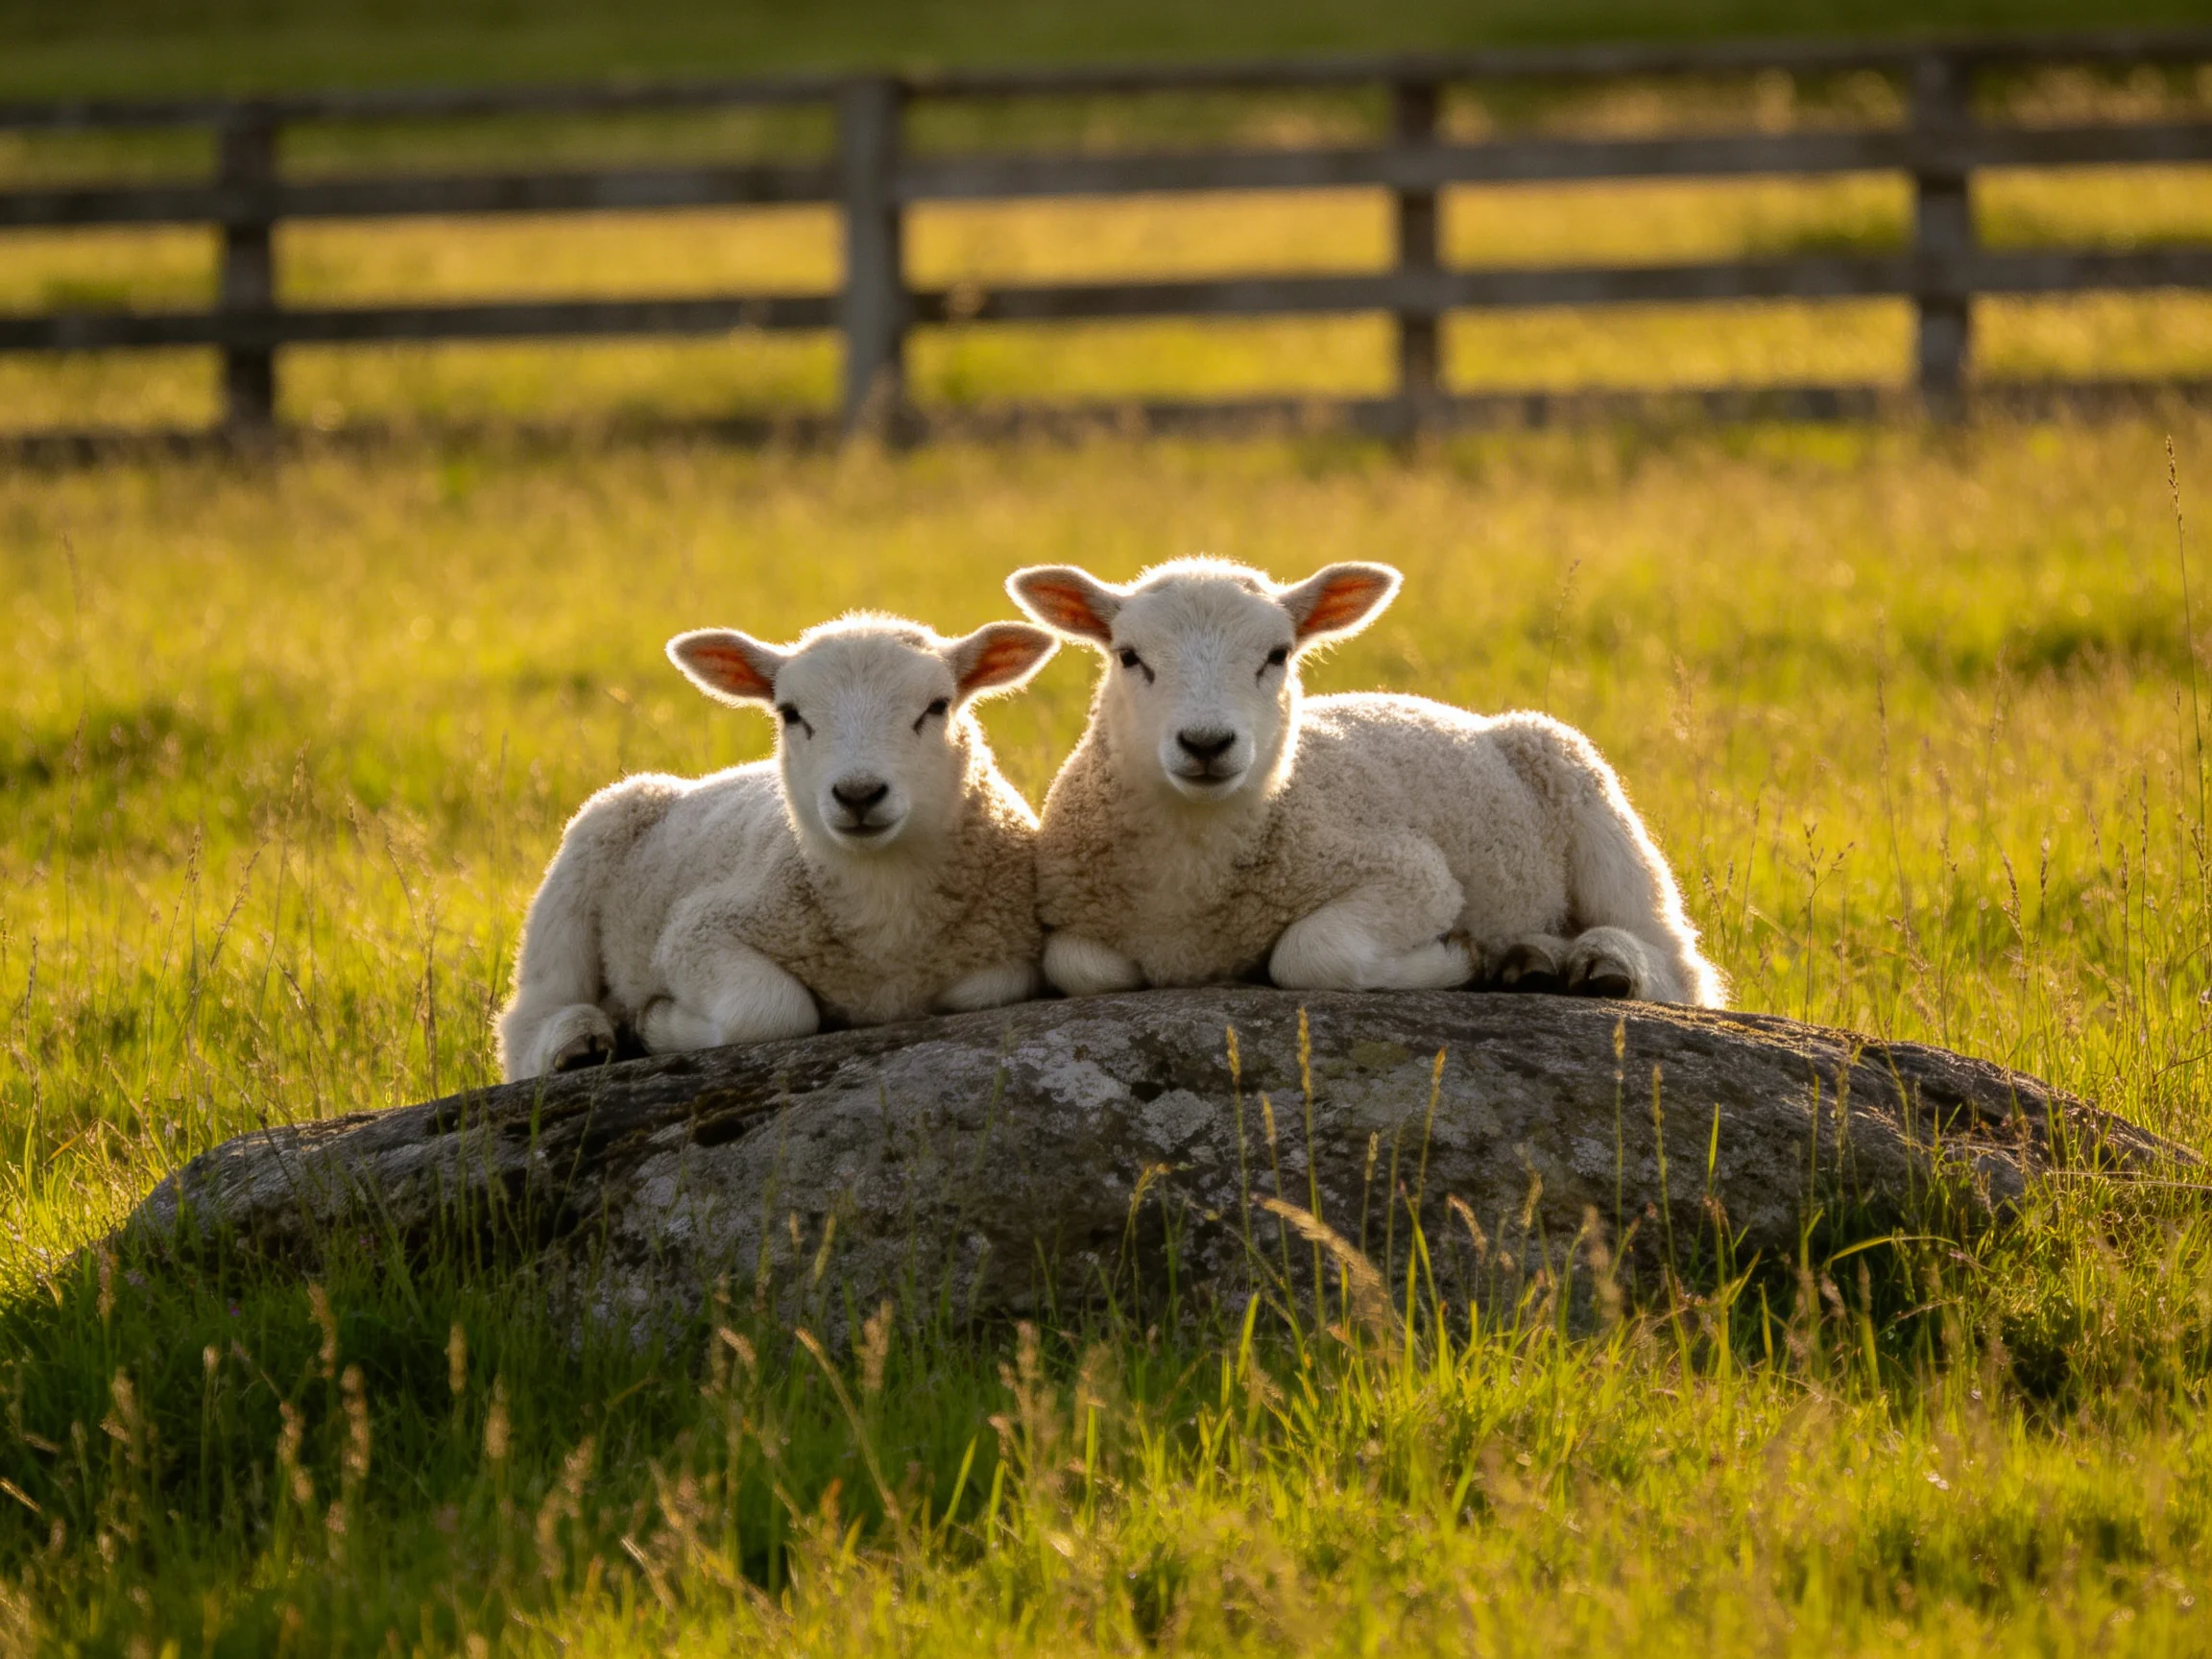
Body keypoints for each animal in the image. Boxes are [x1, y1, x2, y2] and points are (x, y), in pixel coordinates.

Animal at [497, 613, 1058, 1081]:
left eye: (937, 706)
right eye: (790, 714)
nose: (858, 794)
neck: (884, 894)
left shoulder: (1006, 951)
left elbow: (988, 987)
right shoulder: (698, 932)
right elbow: (770, 1012)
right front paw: (658, 1025)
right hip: (585, 858)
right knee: (531, 1014)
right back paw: (578, 1042)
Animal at [1005, 557, 1727, 1008]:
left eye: (1277, 656)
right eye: (1129, 657)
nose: (1206, 744)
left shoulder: (1410, 875)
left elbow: (1309, 954)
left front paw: (1454, 960)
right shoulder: (1071, 910)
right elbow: (1080, 966)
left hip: (1585, 793)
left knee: (1677, 959)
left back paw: (1606, 964)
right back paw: (1535, 958)